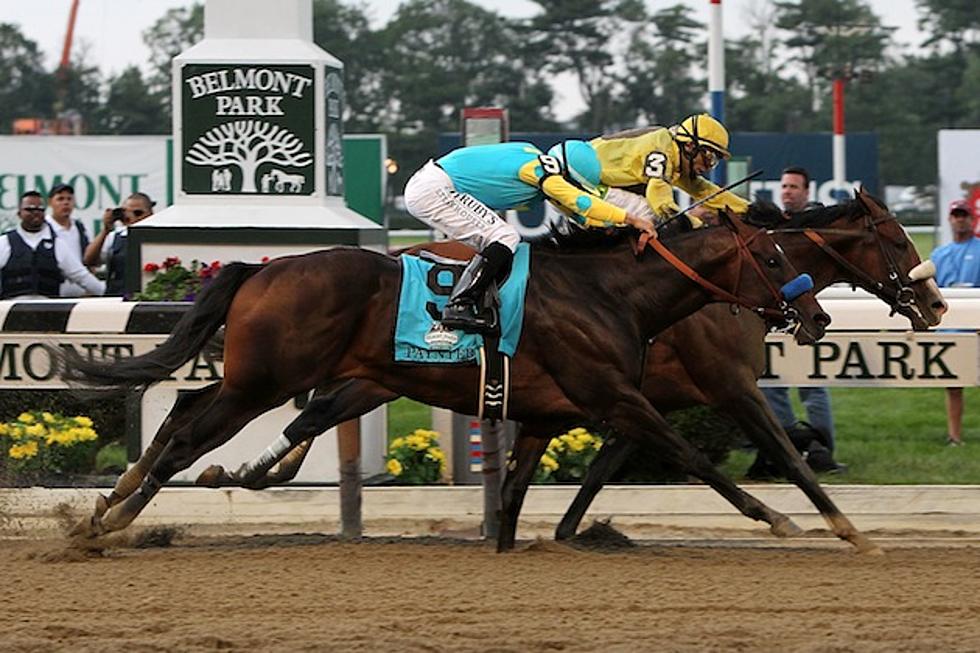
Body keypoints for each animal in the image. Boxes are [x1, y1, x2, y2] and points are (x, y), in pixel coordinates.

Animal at [63, 211, 828, 544]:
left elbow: (515, 496)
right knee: (190, 432)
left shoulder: (549, 414)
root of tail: (259, 268)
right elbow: (696, 457)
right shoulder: (618, 398)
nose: (816, 314)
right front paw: (790, 519)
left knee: (189, 405)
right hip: (264, 380)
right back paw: (110, 518)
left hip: (265, 378)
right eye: (771, 254)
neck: (610, 291)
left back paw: (118, 501)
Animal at [197, 187, 940, 552]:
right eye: (900, 239)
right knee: (296, 410)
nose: (934, 303)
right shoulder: (721, 388)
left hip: (378, 375)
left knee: (314, 412)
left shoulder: (630, 399)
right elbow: (780, 456)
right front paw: (841, 529)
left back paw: (246, 473)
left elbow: (603, 466)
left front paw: (562, 531)